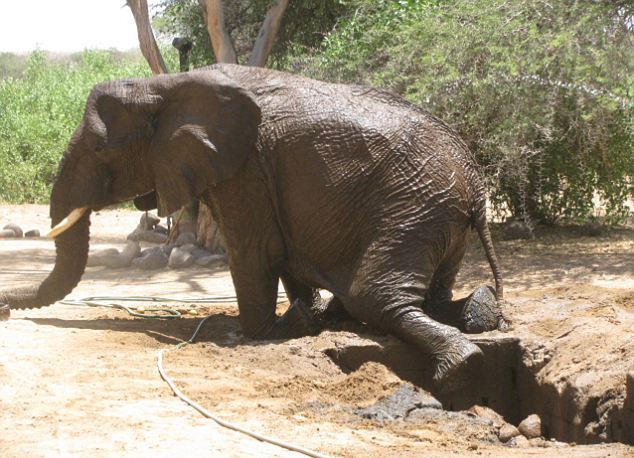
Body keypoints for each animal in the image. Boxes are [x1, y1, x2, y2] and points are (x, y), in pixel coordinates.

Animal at [0, 64, 504, 384]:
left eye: (100, 151)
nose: (4, 310)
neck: (164, 84)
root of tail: (475, 183)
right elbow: (286, 256)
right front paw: (306, 316)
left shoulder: (245, 168)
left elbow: (254, 251)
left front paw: (270, 330)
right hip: (435, 217)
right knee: (428, 294)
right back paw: (477, 313)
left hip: (412, 206)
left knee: (374, 295)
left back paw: (459, 367)